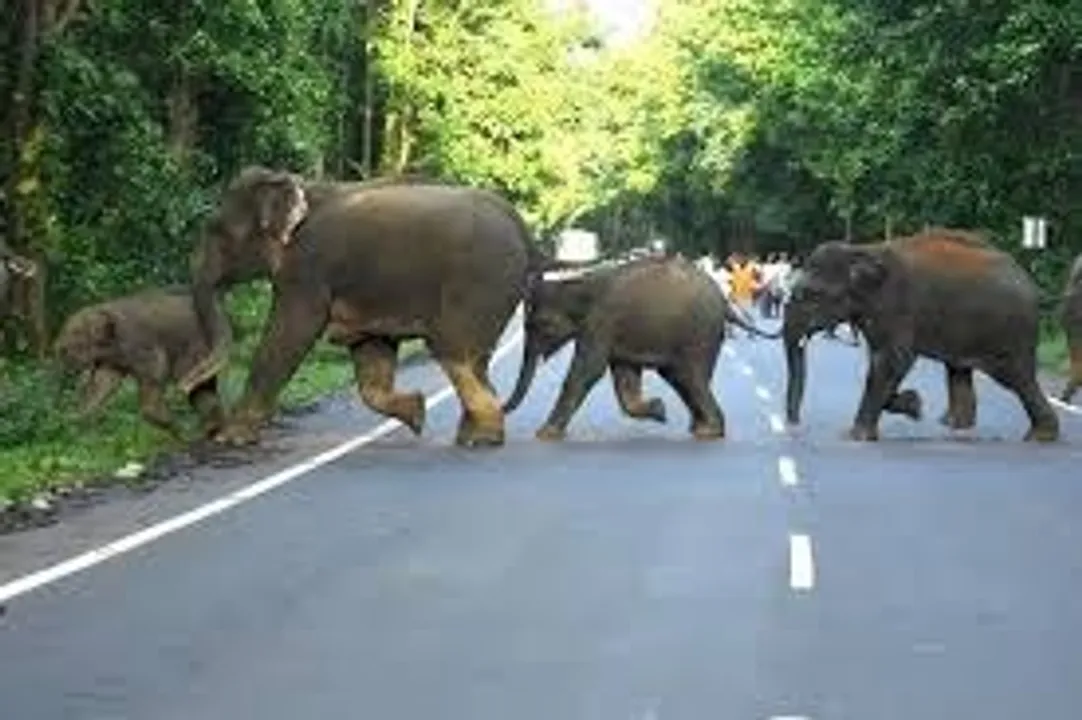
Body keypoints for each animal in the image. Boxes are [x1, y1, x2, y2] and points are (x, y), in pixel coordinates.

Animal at [53, 285, 229, 438]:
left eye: (74, 334)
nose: (58, 349)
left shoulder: (138, 342)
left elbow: (154, 371)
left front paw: (164, 420)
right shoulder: (111, 360)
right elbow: (103, 383)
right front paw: (77, 417)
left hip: (196, 348)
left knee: (194, 383)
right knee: (203, 388)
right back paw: (213, 428)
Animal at [181, 166, 559, 448]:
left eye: (217, 231)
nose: (185, 386)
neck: (301, 185)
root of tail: (525, 233)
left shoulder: (309, 269)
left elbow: (290, 332)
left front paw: (232, 439)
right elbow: (370, 353)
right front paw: (417, 413)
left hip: (481, 286)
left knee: (453, 352)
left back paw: (481, 440)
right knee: (473, 361)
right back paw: (471, 435)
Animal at [503, 255, 781, 441]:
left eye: (537, 325)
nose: (502, 409)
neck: (577, 284)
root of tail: (725, 303)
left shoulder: (601, 323)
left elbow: (587, 371)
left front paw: (544, 434)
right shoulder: (614, 331)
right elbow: (624, 377)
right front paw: (659, 410)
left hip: (698, 335)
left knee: (687, 376)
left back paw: (709, 431)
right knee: (682, 377)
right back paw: (700, 427)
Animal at [782, 228, 1059, 442]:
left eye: (810, 294)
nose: (794, 425)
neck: (863, 250)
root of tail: (1029, 281)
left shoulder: (896, 308)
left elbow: (893, 361)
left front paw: (861, 434)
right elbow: (887, 363)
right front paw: (914, 405)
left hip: (1009, 333)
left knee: (1017, 378)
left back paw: (1040, 436)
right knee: (958, 370)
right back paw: (955, 426)